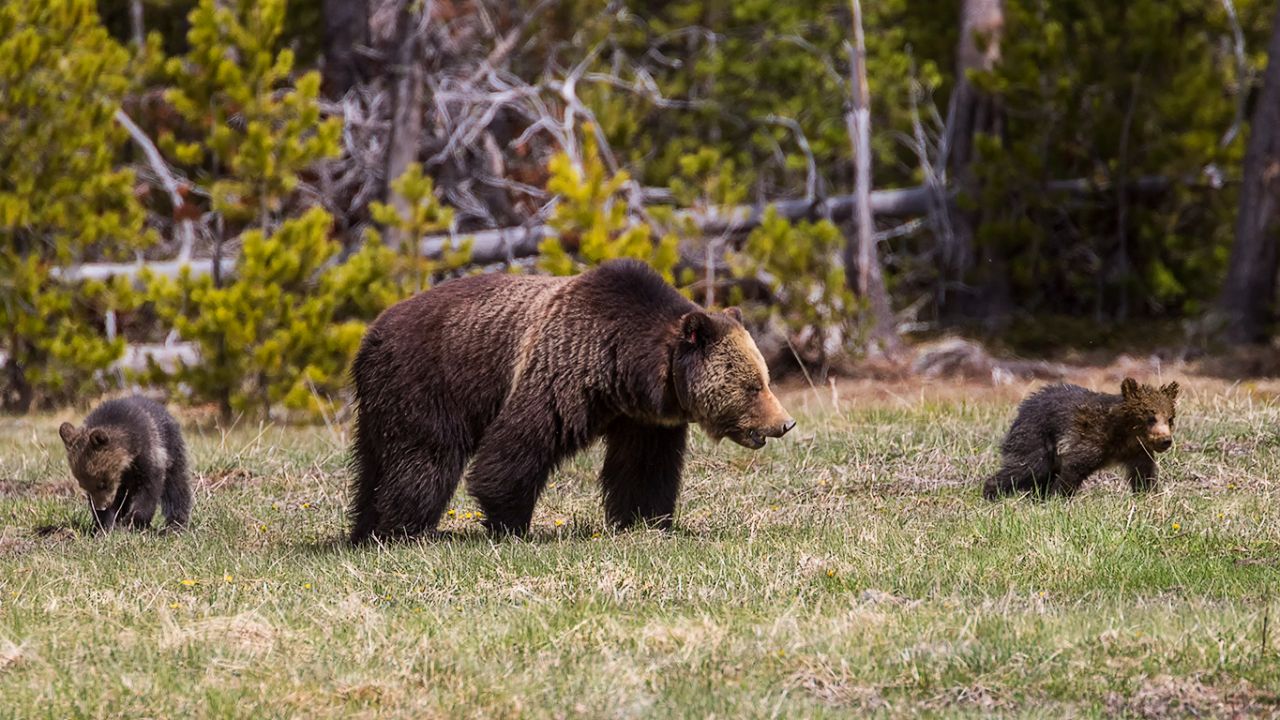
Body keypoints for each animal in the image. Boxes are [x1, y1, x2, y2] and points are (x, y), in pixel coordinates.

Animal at [58, 395, 193, 532]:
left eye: (102, 484)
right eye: (83, 485)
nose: (101, 507)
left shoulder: (148, 456)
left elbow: (148, 491)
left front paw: (131, 522)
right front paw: (106, 525)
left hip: (172, 448)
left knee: (176, 485)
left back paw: (176, 522)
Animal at [347, 258, 796, 542]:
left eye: (765, 379)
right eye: (753, 385)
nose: (785, 422)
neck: (625, 366)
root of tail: (370, 335)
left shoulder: (645, 419)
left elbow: (643, 468)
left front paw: (647, 520)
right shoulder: (561, 371)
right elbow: (519, 444)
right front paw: (510, 523)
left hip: (380, 406)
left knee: (373, 465)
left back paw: (364, 530)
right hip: (428, 384)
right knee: (424, 460)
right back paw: (404, 530)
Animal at [982, 377, 1179, 500]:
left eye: (1170, 418)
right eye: (1150, 417)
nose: (1165, 440)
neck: (1124, 435)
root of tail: (1023, 408)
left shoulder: (1138, 452)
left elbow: (1143, 475)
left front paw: (1147, 495)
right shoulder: (1091, 440)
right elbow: (1074, 469)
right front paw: (1057, 498)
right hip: (1036, 437)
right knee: (1028, 467)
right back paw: (991, 493)